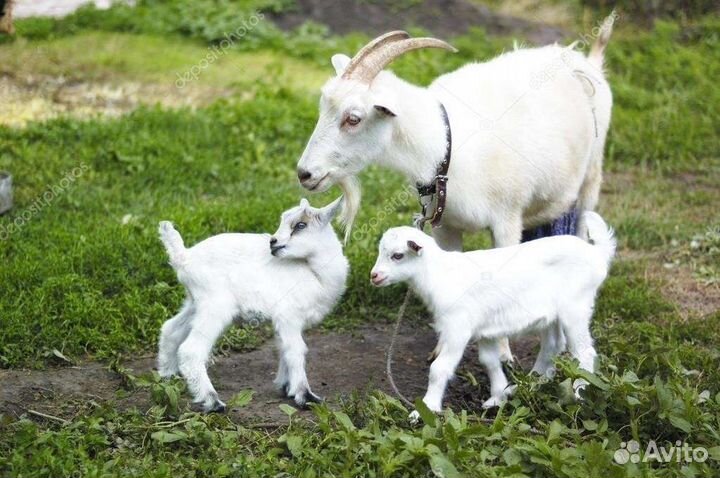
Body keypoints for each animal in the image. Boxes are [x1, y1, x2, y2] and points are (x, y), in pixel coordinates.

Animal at [157, 197, 348, 412]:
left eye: (300, 225)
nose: (273, 241)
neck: (314, 272)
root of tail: (184, 257)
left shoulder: (283, 322)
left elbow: (283, 348)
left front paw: (285, 387)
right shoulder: (289, 317)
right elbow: (296, 350)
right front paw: (304, 396)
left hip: (195, 303)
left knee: (170, 329)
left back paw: (167, 376)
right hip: (215, 306)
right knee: (191, 350)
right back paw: (212, 401)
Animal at [296, 14, 616, 361]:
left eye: (353, 118)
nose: (304, 173)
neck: (446, 148)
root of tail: (588, 61)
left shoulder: (507, 220)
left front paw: (503, 354)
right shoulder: (445, 225)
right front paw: (442, 348)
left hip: (592, 174)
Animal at [370, 211, 615, 417]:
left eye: (398, 255)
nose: (374, 276)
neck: (440, 274)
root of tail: (596, 253)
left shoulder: (458, 327)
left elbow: (439, 368)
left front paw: (425, 410)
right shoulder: (484, 329)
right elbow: (489, 361)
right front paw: (498, 397)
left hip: (575, 308)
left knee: (584, 353)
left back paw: (579, 395)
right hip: (552, 315)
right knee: (553, 345)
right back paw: (531, 383)